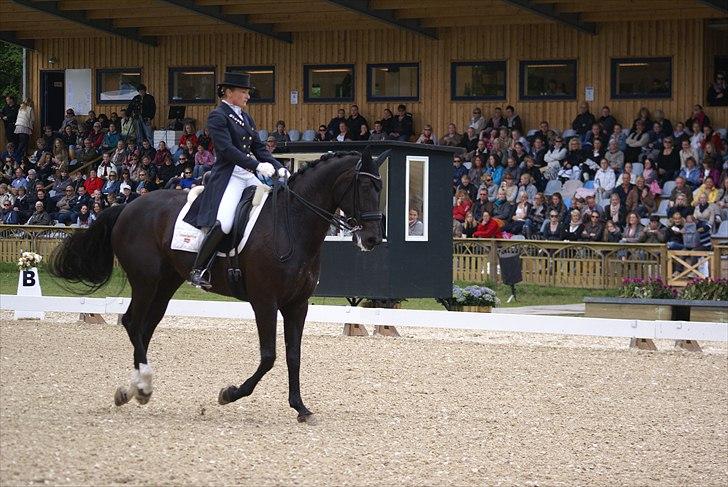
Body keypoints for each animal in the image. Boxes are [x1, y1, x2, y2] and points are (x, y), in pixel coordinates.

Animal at [49, 150, 386, 424]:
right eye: (364, 187)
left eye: (380, 188)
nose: (371, 239)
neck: (292, 224)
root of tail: (130, 205)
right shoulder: (265, 300)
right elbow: (269, 356)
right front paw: (230, 393)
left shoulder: (297, 304)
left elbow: (294, 355)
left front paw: (301, 408)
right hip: (146, 279)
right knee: (132, 321)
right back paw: (143, 385)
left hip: (167, 283)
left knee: (145, 327)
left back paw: (133, 390)